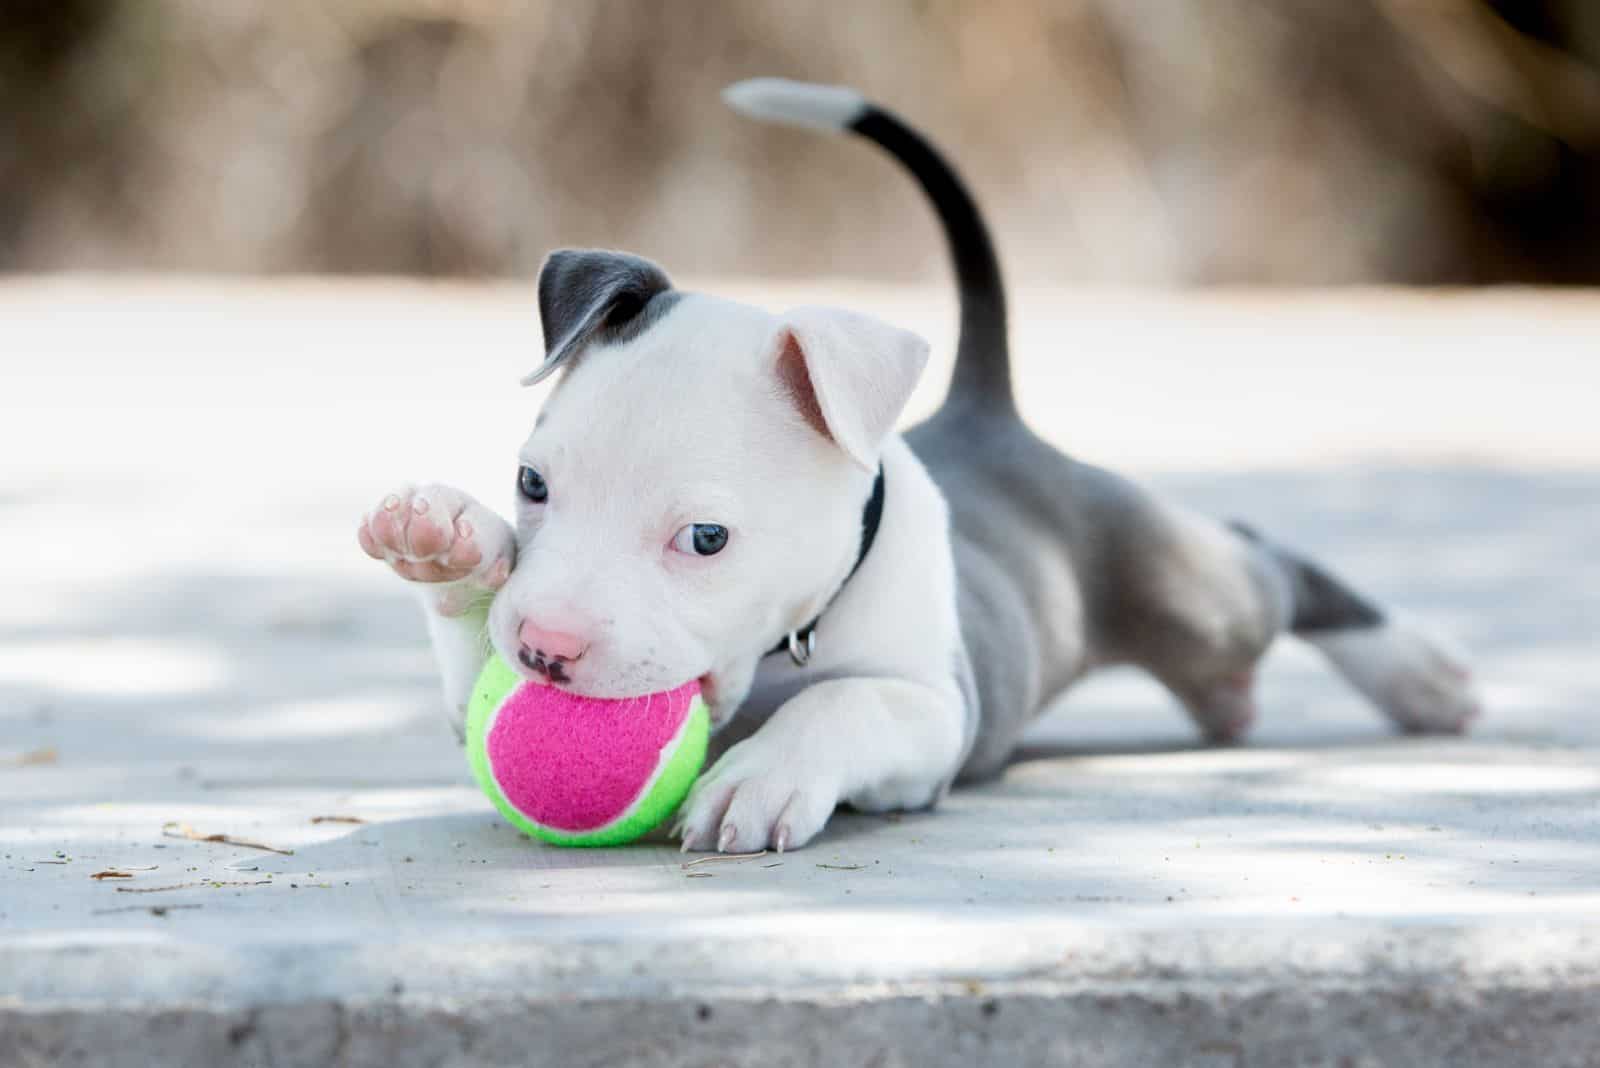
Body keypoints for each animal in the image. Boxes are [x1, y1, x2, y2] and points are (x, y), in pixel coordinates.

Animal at [356, 77, 1478, 850]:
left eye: (707, 539)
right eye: (531, 485)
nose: (545, 650)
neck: (786, 643)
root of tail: (989, 409)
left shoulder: (936, 712)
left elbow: (844, 701)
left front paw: (759, 776)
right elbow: (467, 655)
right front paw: (444, 543)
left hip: (1188, 590)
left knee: (1260, 560)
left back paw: (1423, 676)